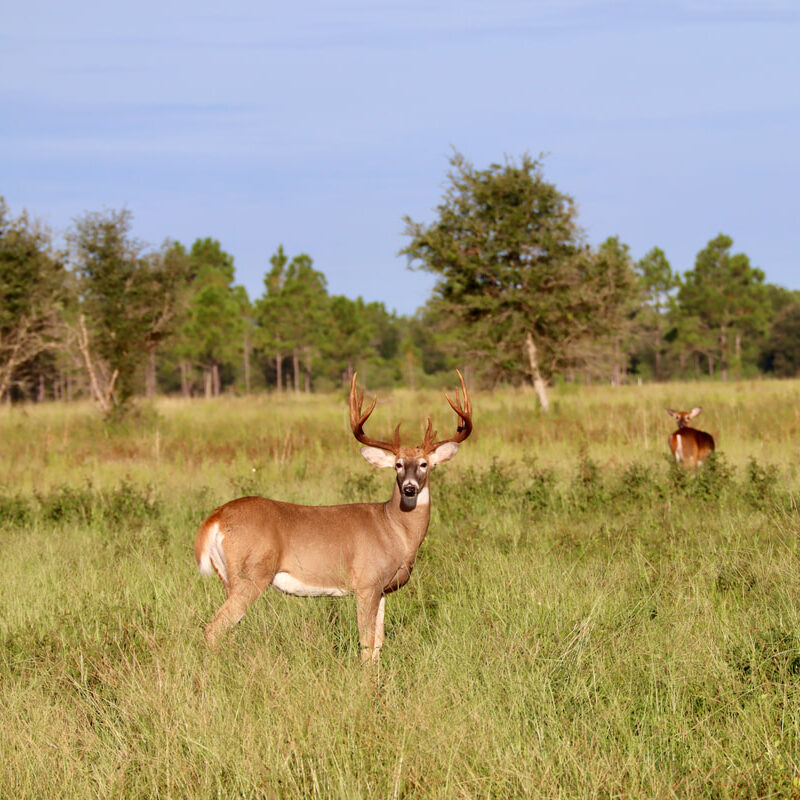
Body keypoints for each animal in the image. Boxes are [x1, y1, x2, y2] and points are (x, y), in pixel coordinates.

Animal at [194, 371, 472, 662]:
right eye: (397, 465)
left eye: (424, 464)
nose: (409, 488)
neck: (394, 529)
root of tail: (216, 517)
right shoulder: (366, 583)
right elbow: (366, 644)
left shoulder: (382, 590)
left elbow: (378, 644)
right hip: (252, 575)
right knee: (214, 627)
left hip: (228, 577)